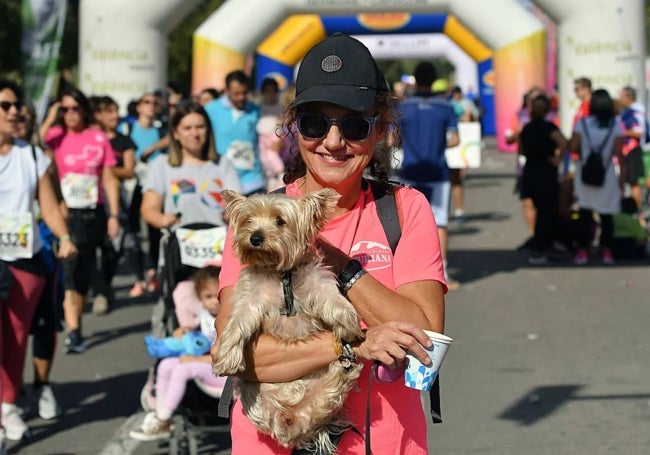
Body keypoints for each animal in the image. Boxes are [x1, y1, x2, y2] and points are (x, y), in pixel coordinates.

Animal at [214, 188, 362, 452]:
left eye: (280, 221)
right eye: (248, 220)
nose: (255, 238)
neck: (280, 273)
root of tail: (292, 418)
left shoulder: (315, 280)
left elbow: (331, 299)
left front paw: (347, 322)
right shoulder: (249, 299)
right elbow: (236, 325)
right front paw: (227, 358)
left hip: (321, 395)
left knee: (331, 391)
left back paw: (344, 369)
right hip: (254, 395)